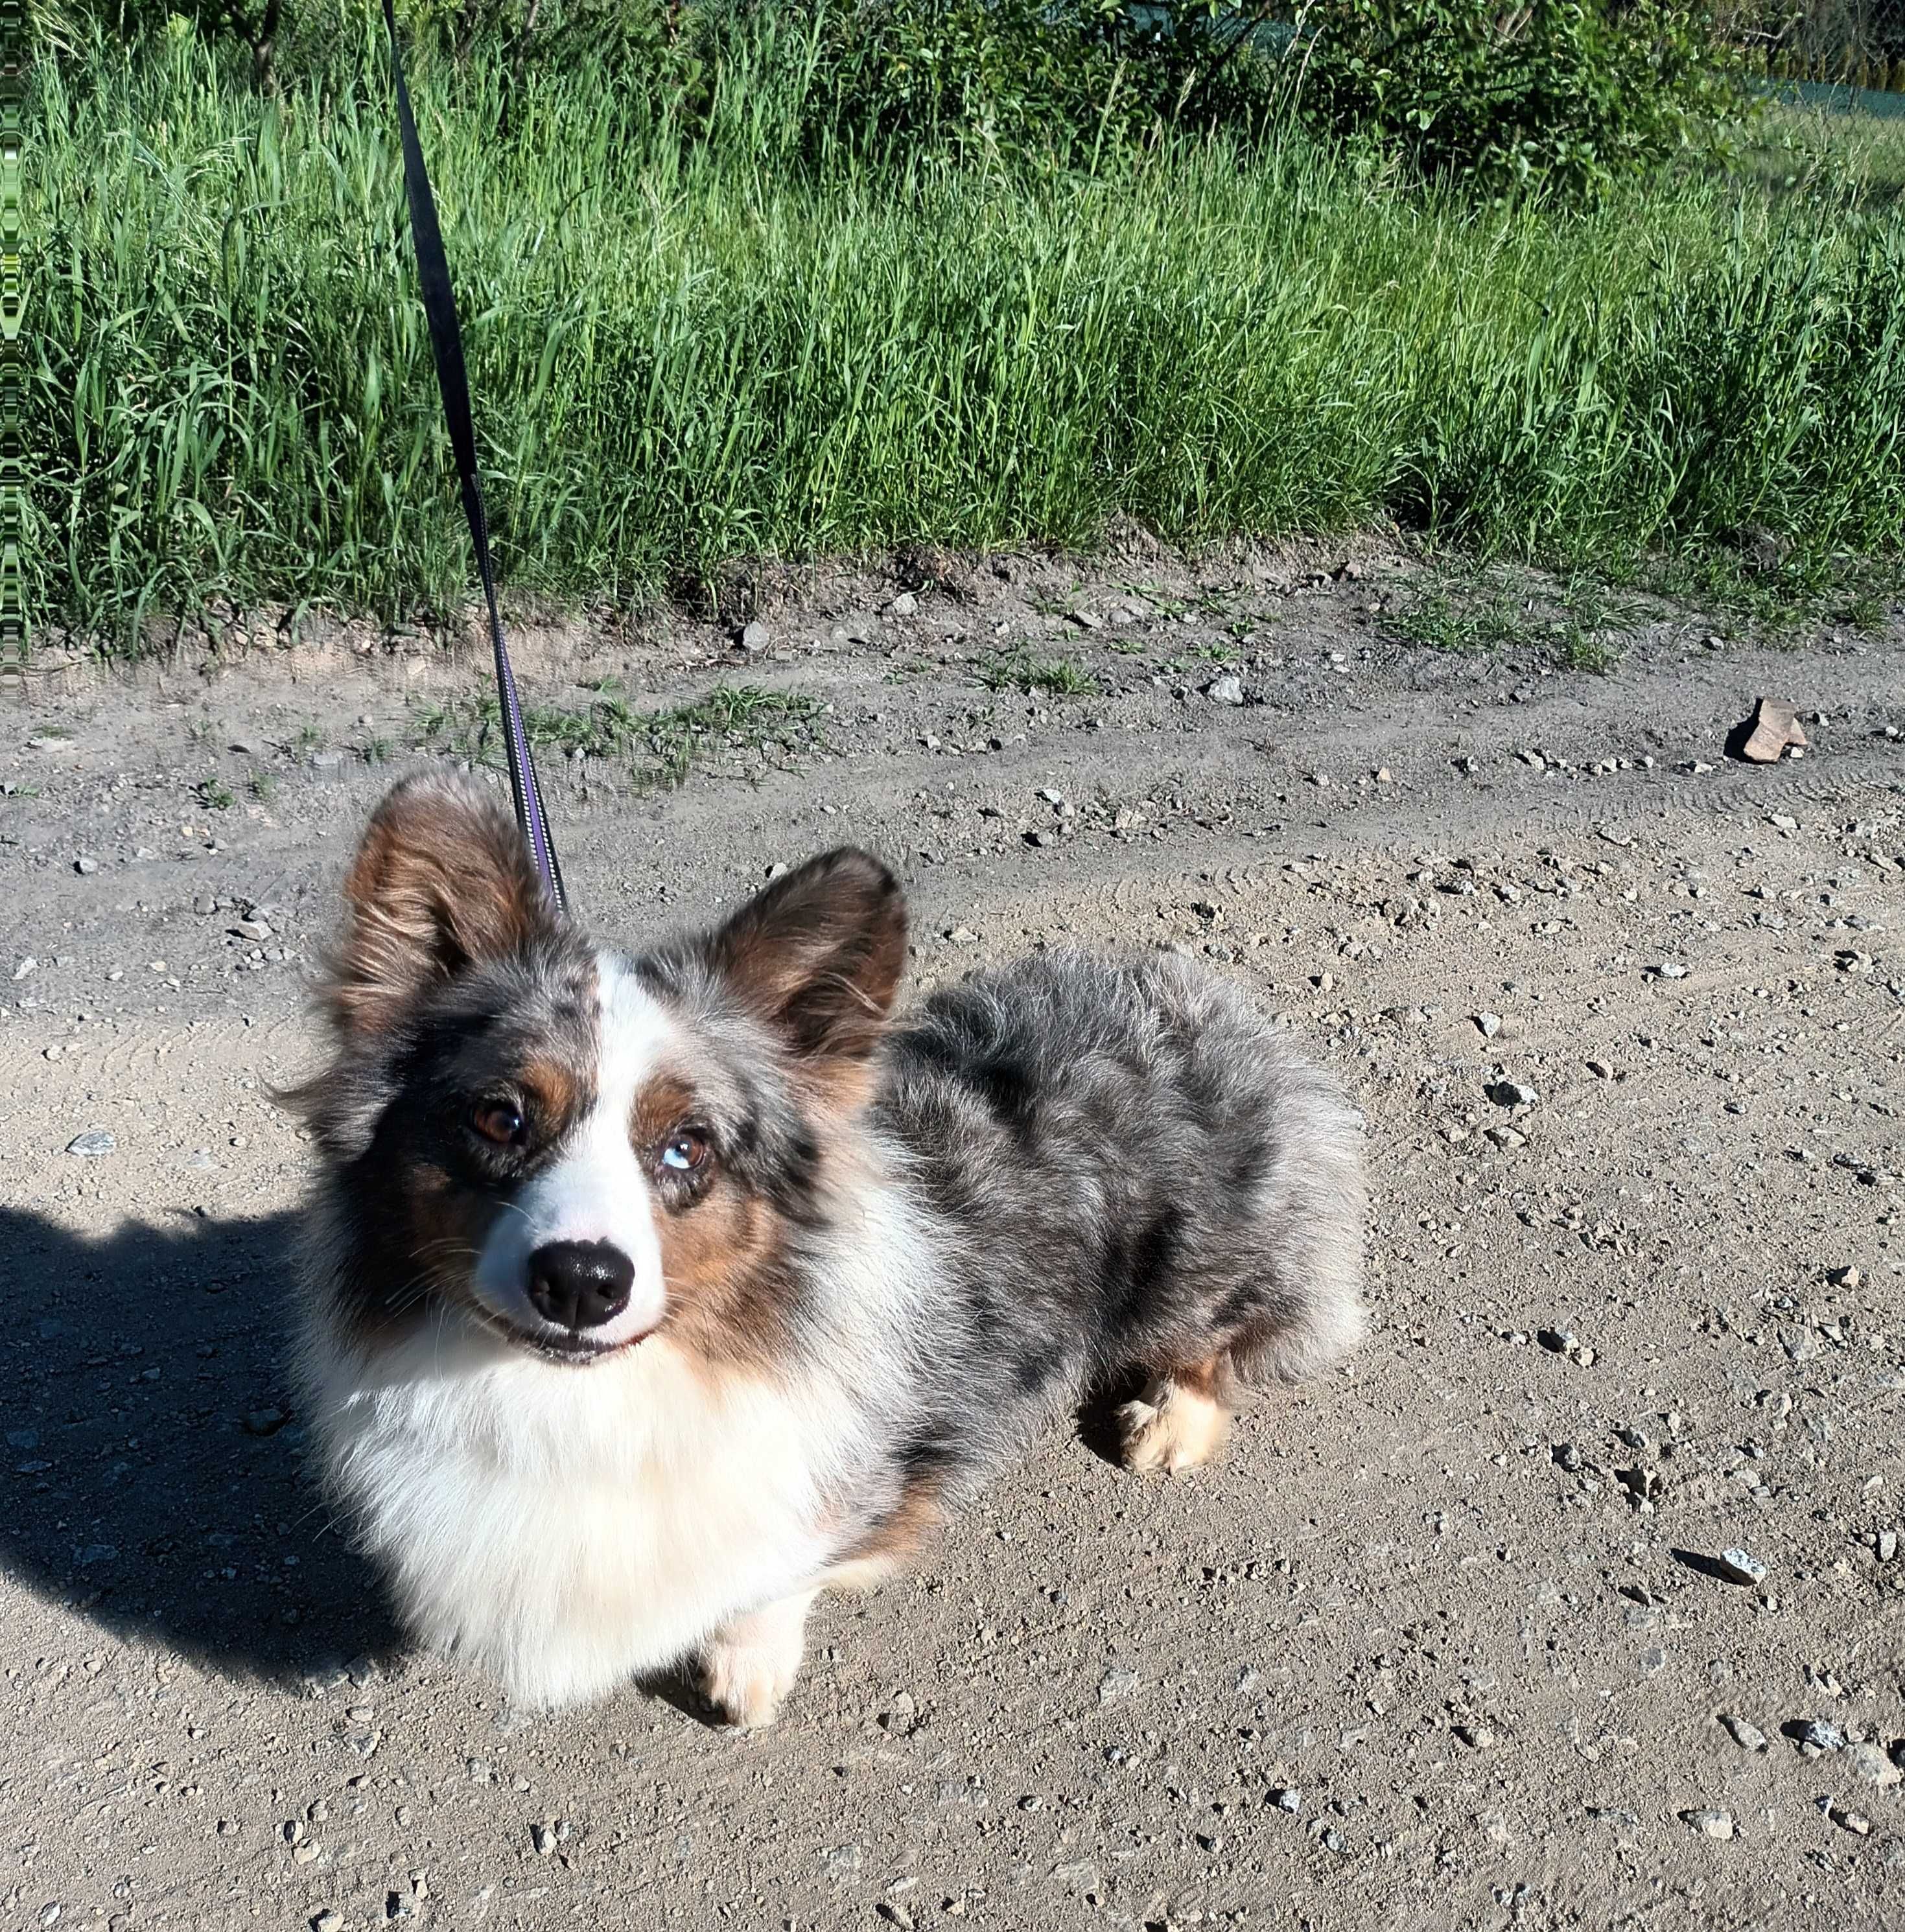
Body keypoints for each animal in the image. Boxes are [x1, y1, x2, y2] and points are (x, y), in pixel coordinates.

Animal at [290, 776, 1360, 1730]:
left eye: (688, 1147)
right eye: (500, 1118)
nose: (581, 1283)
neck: (590, 1400)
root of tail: (1208, 998)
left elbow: (775, 1575)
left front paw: (744, 1671)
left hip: (1197, 1264)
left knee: (1223, 1335)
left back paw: (1169, 1422)